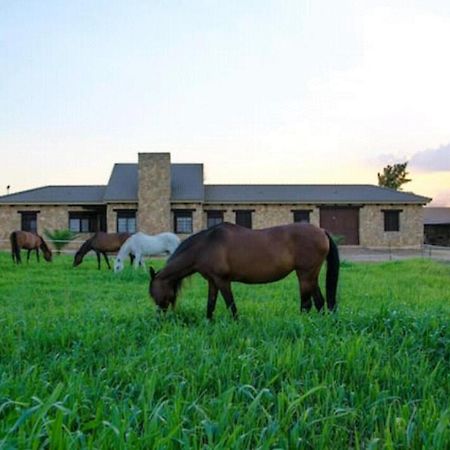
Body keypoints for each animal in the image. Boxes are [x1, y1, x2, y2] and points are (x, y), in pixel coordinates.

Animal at [149, 222, 340, 320]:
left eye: (152, 293)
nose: (159, 318)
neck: (206, 245)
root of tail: (321, 231)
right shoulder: (212, 281)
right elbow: (210, 304)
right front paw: (208, 322)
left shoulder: (223, 280)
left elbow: (230, 304)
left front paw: (236, 323)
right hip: (311, 276)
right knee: (319, 301)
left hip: (305, 274)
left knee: (307, 304)